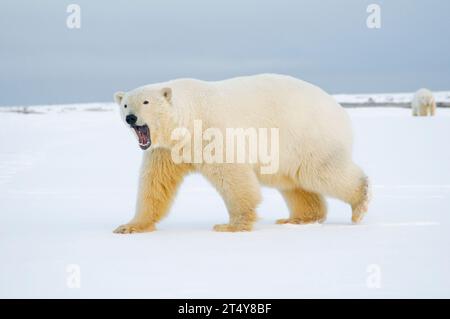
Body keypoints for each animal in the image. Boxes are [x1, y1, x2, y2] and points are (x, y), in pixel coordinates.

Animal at [111, 75, 370, 235]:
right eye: (125, 104)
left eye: (146, 101)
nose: (131, 118)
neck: (187, 119)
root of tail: (340, 109)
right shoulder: (164, 150)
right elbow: (156, 184)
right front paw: (129, 226)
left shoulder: (211, 132)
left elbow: (232, 174)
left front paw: (232, 225)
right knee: (293, 182)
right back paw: (298, 218)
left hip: (307, 135)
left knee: (320, 171)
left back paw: (360, 203)